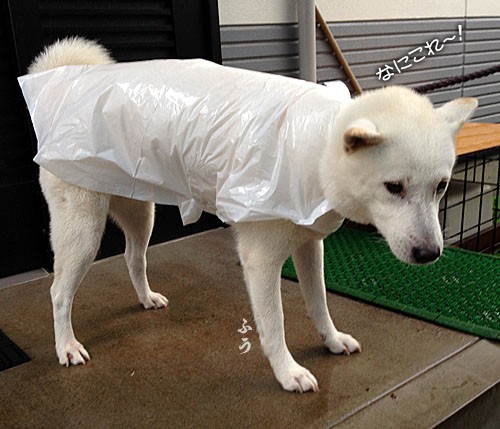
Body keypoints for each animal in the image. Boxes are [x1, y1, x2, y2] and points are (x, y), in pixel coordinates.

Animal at [26, 37, 476, 392]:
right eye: (393, 187)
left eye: (441, 187)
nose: (430, 254)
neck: (315, 145)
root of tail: (65, 85)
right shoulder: (260, 261)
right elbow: (274, 325)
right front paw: (288, 373)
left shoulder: (310, 246)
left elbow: (320, 304)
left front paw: (331, 341)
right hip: (83, 231)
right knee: (59, 292)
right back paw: (67, 346)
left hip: (141, 213)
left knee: (133, 258)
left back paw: (146, 298)